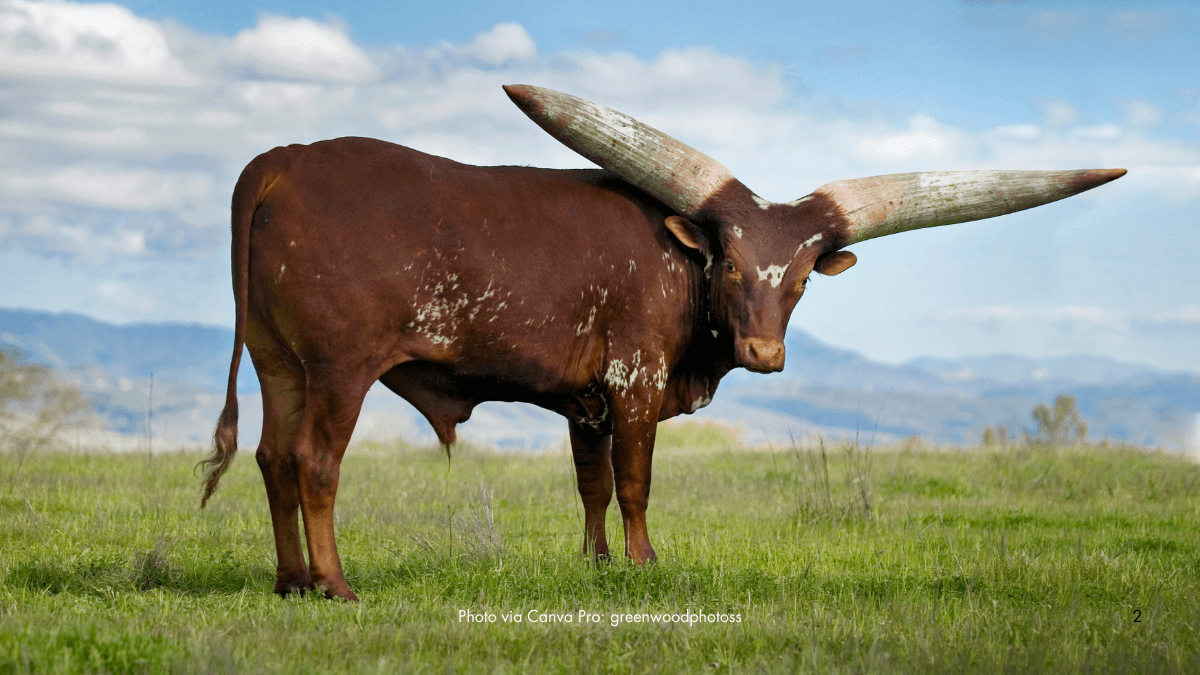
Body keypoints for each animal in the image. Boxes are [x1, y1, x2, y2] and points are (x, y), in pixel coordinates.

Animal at [199, 85, 1124, 601]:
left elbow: (592, 485)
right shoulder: (633, 381)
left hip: (281, 364)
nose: (765, 354)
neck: (682, 270)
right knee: (316, 463)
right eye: (731, 261)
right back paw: (336, 585)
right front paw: (643, 565)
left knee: (273, 459)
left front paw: (596, 564)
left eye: (800, 278)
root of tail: (281, 161)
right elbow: (637, 482)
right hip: (338, 368)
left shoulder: (583, 401)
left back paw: (290, 583)